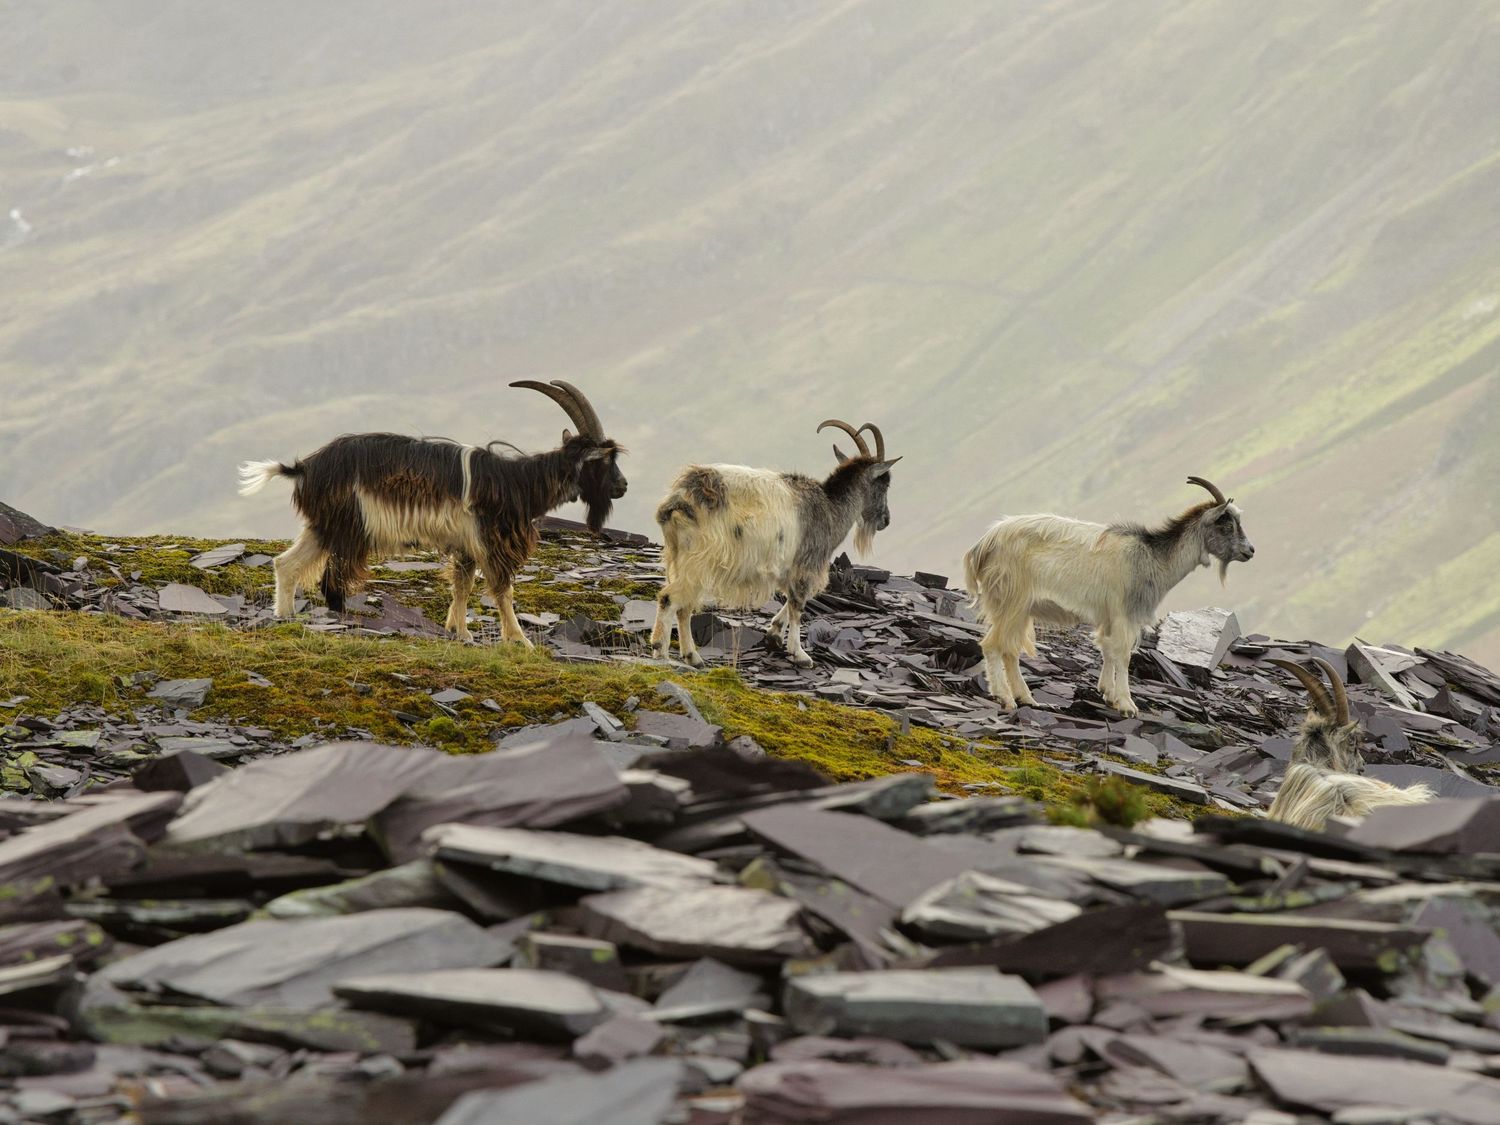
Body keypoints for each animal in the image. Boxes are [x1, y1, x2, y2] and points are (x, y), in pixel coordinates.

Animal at [237, 380, 626, 644]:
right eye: (604, 460)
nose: (622, 487)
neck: (517, 482)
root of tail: (303, 467)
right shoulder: (489, 541)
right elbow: (502, 590)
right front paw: (520, 640)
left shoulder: (466, 545)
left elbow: (462, 586)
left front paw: (460, 631)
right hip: (348, 524)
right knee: (328, 579)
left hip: (324, 524)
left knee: (285, 564)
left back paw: (286, 616)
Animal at [650, 419, 900, 668]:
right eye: (884, 484)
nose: (886, 520)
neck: (830, 508)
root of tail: (678, 499)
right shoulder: (806, 564)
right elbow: (798, 604)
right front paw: (800, 654)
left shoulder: (790, 568)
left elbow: (790, 600)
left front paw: (775, 635)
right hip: (698, 560)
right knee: (670, 599)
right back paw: (661, 652)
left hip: (679, 557)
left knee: (684, 607)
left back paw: (693, 657)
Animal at [963, 477, 1255, 717]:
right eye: (1226, 526)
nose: (1250, 551)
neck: (1152, 558)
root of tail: (983, 544)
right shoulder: (1124, 613)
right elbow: (1122, 654)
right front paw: (1127, 704)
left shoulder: (1109, 616)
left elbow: (1106, 648)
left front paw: (1108, 694)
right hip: (1012, 600)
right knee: (993, 645)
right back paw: (1005, 698)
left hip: (1018, 608)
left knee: (1009, 649)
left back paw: (1026, 698)